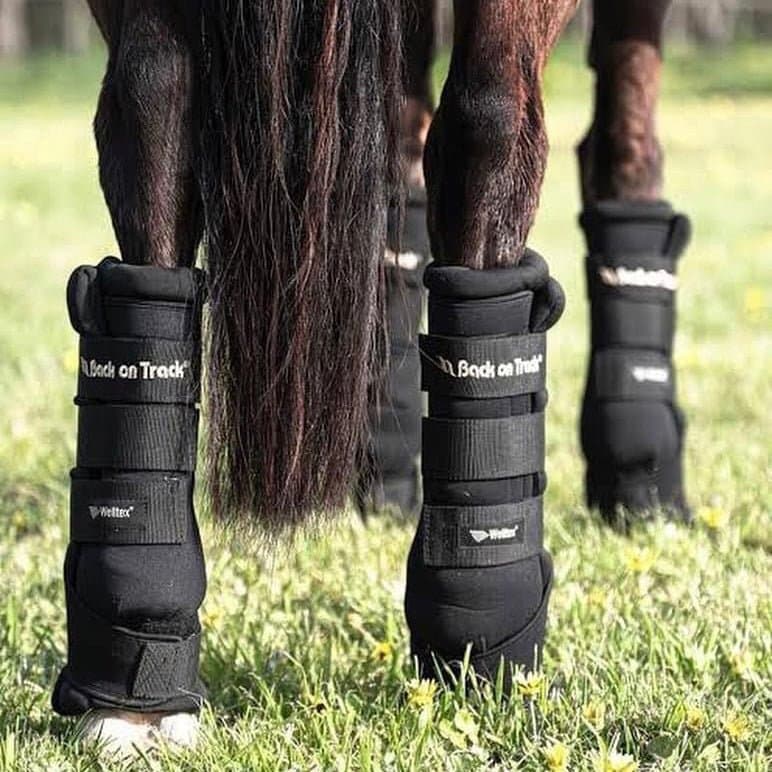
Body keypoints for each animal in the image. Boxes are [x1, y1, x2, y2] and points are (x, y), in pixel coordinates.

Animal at [54, 0, 690, 755]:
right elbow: (625, 141)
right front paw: (641, 484)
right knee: (492, 128)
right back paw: (490, 647)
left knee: (152, 103)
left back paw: (137, 685)